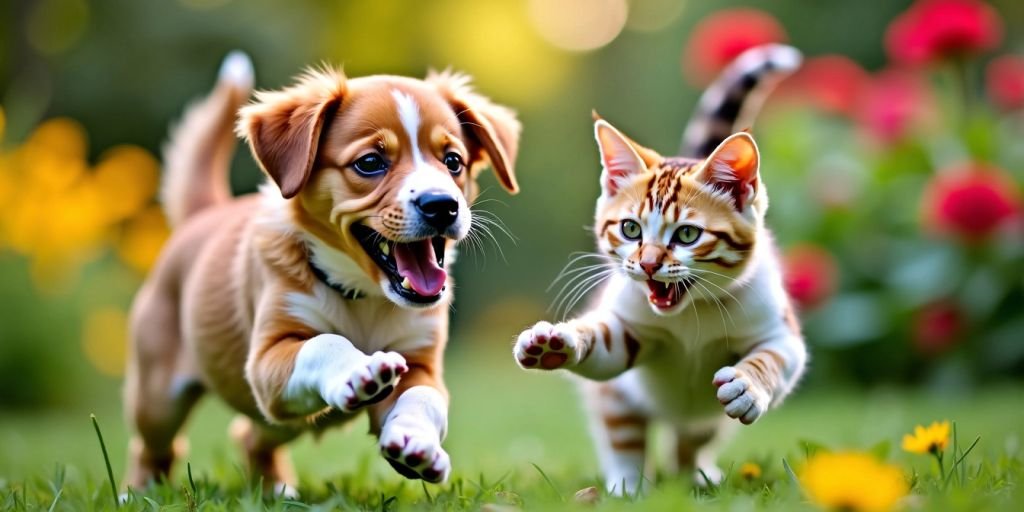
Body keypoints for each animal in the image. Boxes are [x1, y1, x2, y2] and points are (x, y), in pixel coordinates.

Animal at [123, 51, 520, 491]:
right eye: (370, 162)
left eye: (453, 161)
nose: (442, 205)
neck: (366, 298)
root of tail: (205, 213)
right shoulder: (267, 360)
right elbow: (324, 343)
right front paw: (358, 370)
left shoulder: (421, 363)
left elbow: (424, 399)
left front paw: (414, 442)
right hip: (158, 398)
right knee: (154, 446)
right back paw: (139, 491)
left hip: (278, 424)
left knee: (249, 437)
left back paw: (275, 488)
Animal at [512, 46, 806, 493]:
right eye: (630, 229)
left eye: (686, 234)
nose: (649, 263)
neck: (691, 315)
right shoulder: (630, 327)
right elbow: (604, 344)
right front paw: (556, 344)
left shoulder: (780, 331)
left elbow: (773, 358)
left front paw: (748, 385)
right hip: (619, 400)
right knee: (623, 433)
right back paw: (627, 487)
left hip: (704, 422)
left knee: (693, 437)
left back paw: (697, 476)